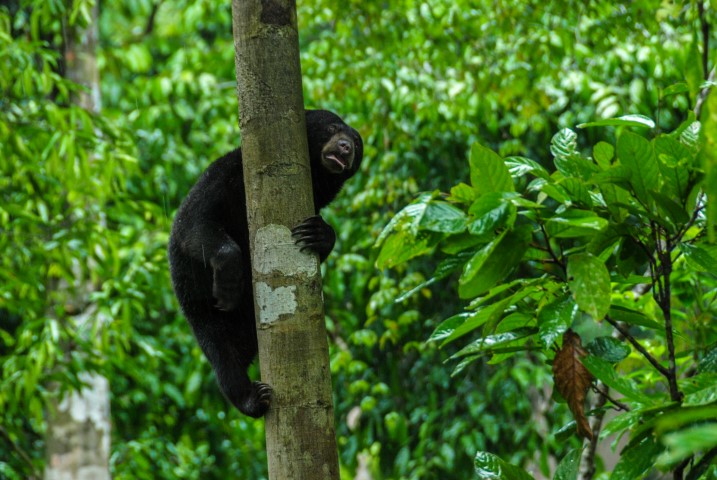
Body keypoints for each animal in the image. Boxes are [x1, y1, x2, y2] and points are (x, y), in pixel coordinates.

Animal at [168, 110, 363, 417]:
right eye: (332, 128)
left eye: (356, 142)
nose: (345, 147)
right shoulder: (224, 177)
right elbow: (194, 224)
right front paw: (228, 285)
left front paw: (319, 234)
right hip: (197, 305)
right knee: (222, 353)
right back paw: (250, 398)